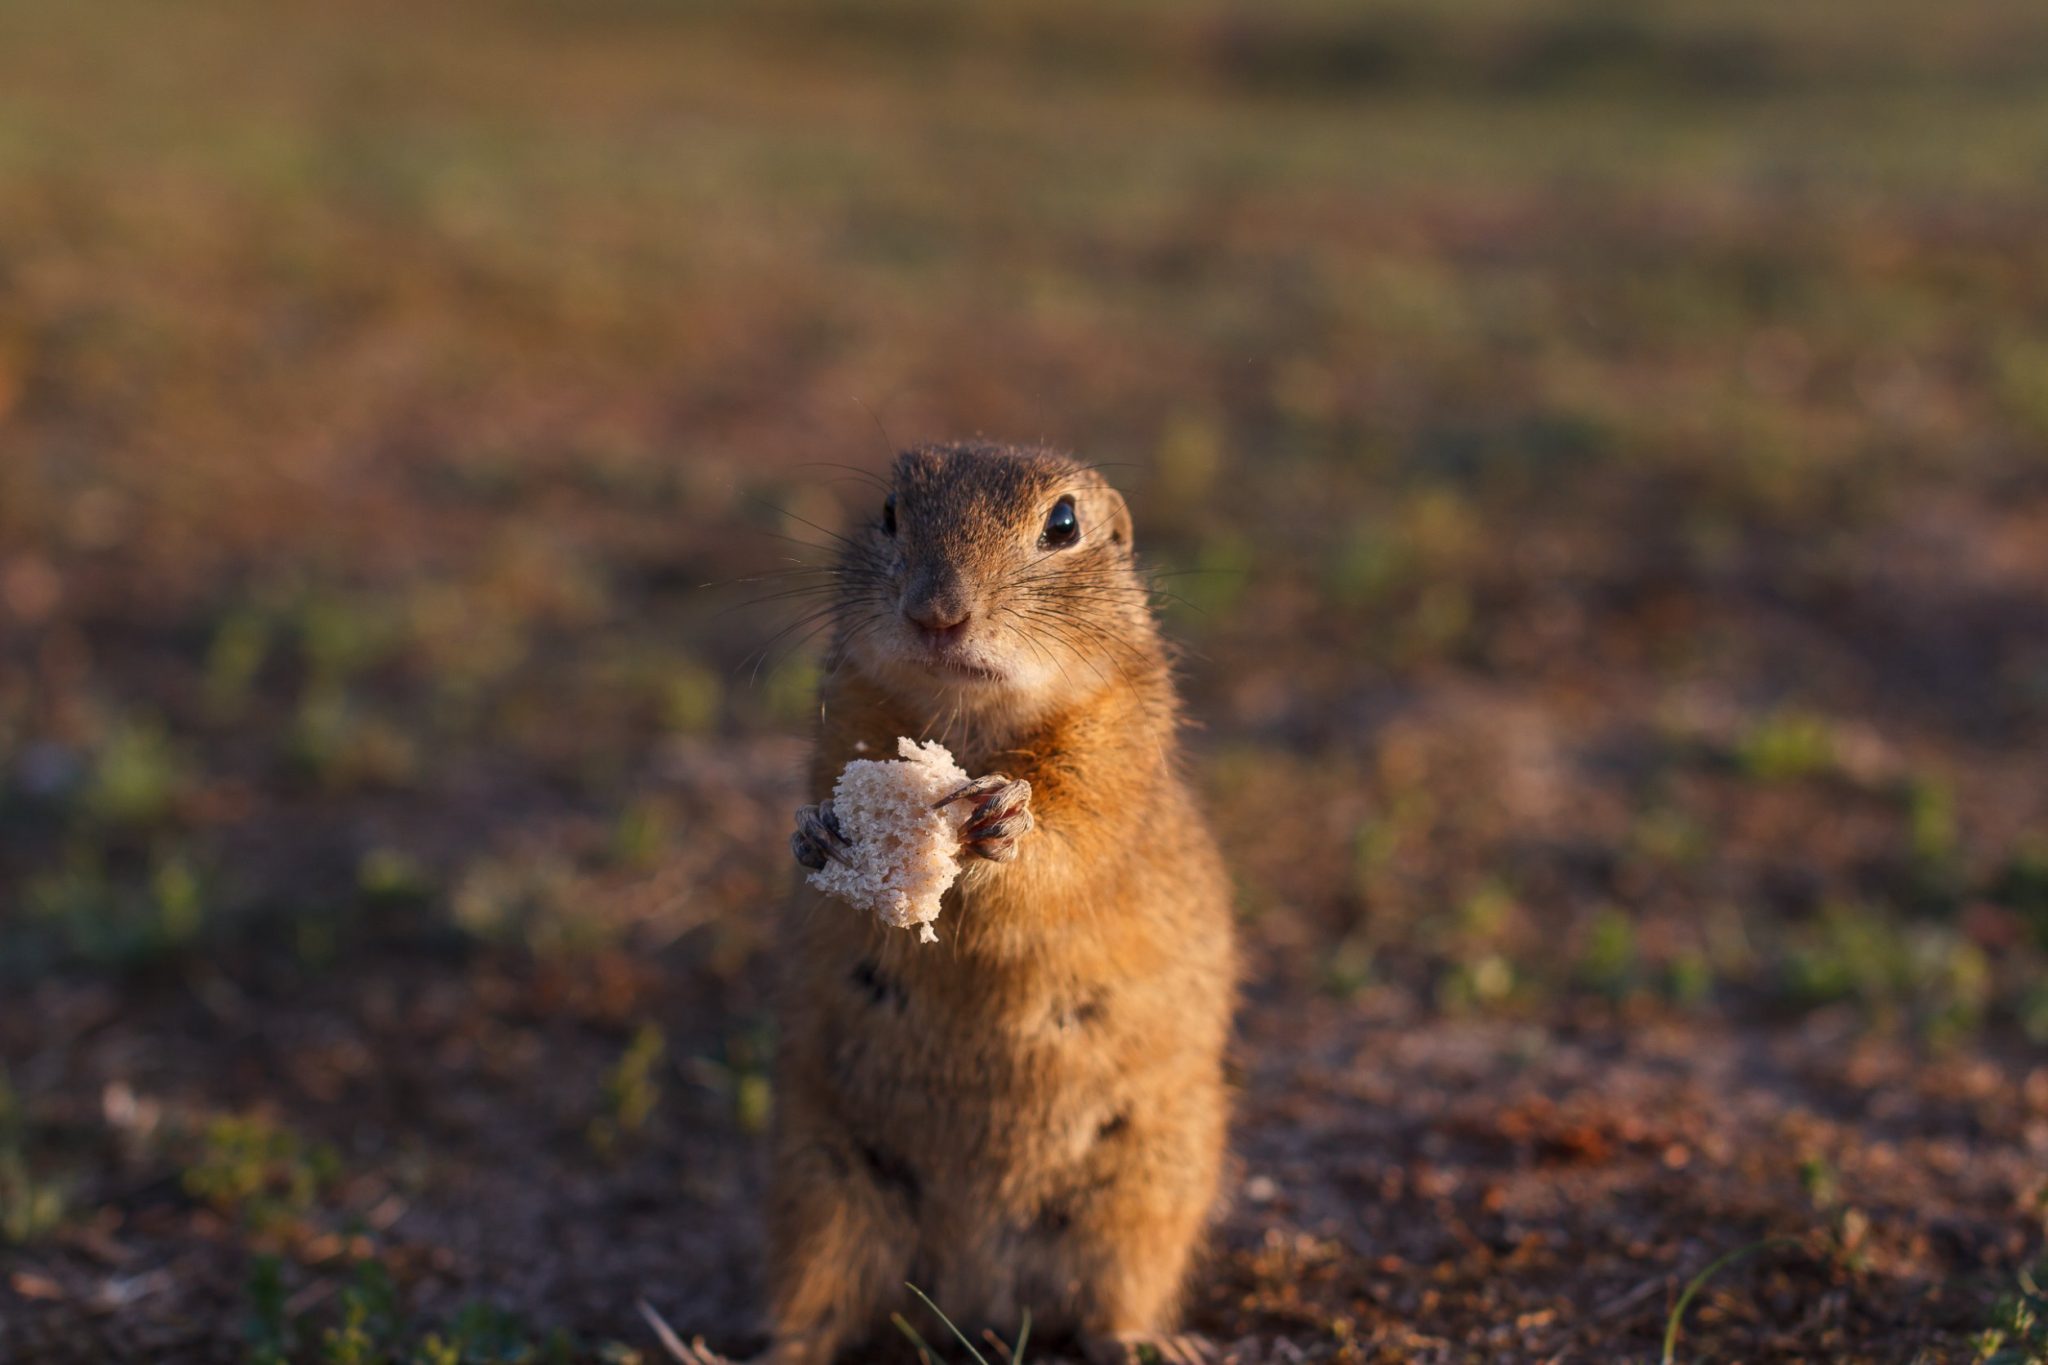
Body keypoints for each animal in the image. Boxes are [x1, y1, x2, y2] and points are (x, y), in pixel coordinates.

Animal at [770, 444, 1236, 1365]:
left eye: (1063, 523)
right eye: (888, 511)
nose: (935, 613)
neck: (967, 718)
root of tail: (969, 1286)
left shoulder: (1110, 753)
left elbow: (1069, 841)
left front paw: (1002, 822)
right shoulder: (844, 713)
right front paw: (819, 833)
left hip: (1145, 1190)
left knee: (1109, 1305)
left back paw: (1147, 1343)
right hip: (820, 1182)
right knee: (815, 1308)